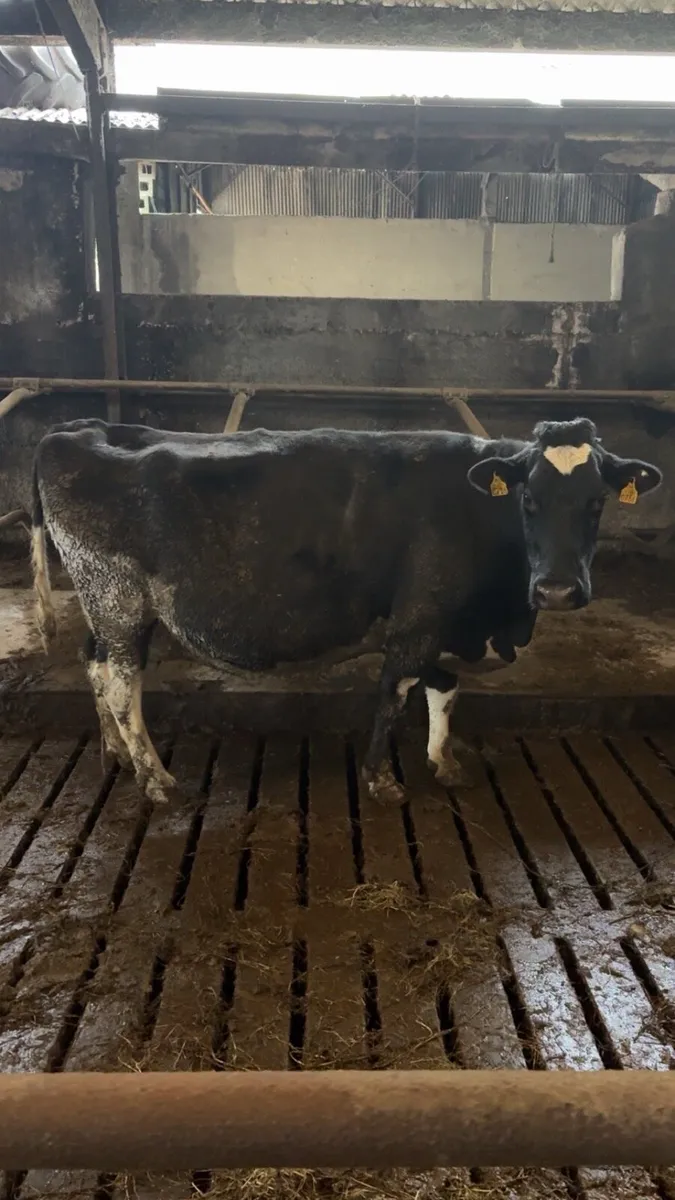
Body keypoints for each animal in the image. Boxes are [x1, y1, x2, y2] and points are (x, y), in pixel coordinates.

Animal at [30, 416, 661, 805]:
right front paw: (382, 781)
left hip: (104, 604)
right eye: (528, 497)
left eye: (598, 501)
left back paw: (116, 753)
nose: (556, 589)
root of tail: (76, 429)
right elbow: (394, 696)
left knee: (95, 665)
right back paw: (156, 778)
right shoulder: (417, 619)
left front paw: (444, 762)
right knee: (121, 684)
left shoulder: (442, 624)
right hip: (118, 599)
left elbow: (445, 689)